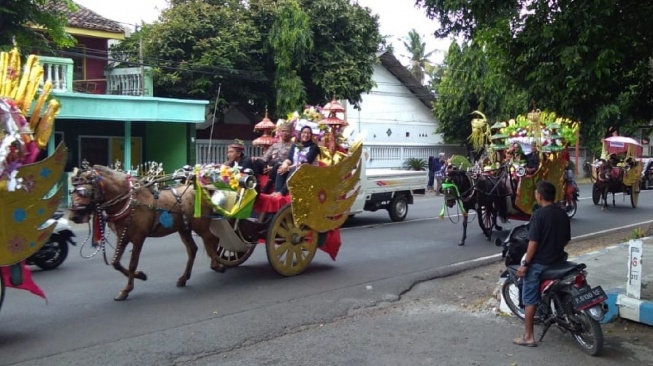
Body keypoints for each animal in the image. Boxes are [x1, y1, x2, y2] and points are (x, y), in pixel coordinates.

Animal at [69, 166, 227, 300]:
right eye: (72, 191)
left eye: (83, 192)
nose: (73, 216)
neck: (128, 202)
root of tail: (204, 189)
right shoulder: (122, 237)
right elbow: (116, 263)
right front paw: (140, 276)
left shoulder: (139, 237)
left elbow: (132, 263)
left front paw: (127, 289)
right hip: (184, 228)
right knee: (193, 249)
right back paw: (184, 277)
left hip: (201, 226)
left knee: (212, 240)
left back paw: (218, 264)